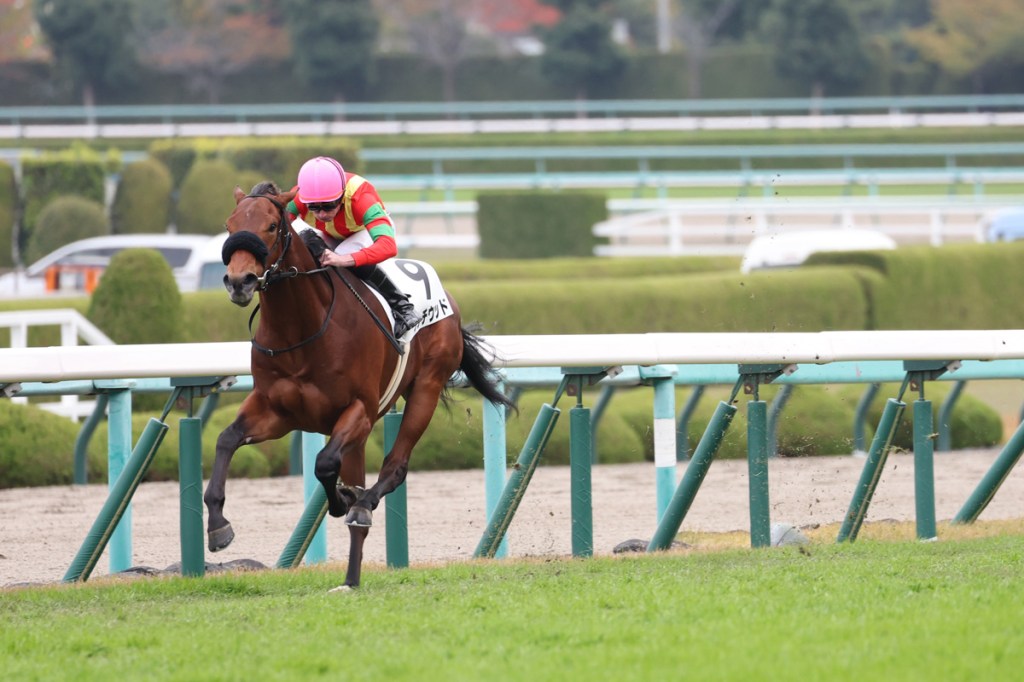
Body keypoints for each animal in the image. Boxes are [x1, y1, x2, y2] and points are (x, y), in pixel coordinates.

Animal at [204, 182, 515, 590]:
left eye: (271, 226)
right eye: (229, 225)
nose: (239, 282)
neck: (302, 329)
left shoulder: (360, 412)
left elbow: (324, 464)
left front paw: (344, 499)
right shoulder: (277, 412)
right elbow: (226, 439)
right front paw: (218, 526)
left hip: (425, 389)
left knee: (394, 467)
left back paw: (361, 506)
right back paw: (350, 578)